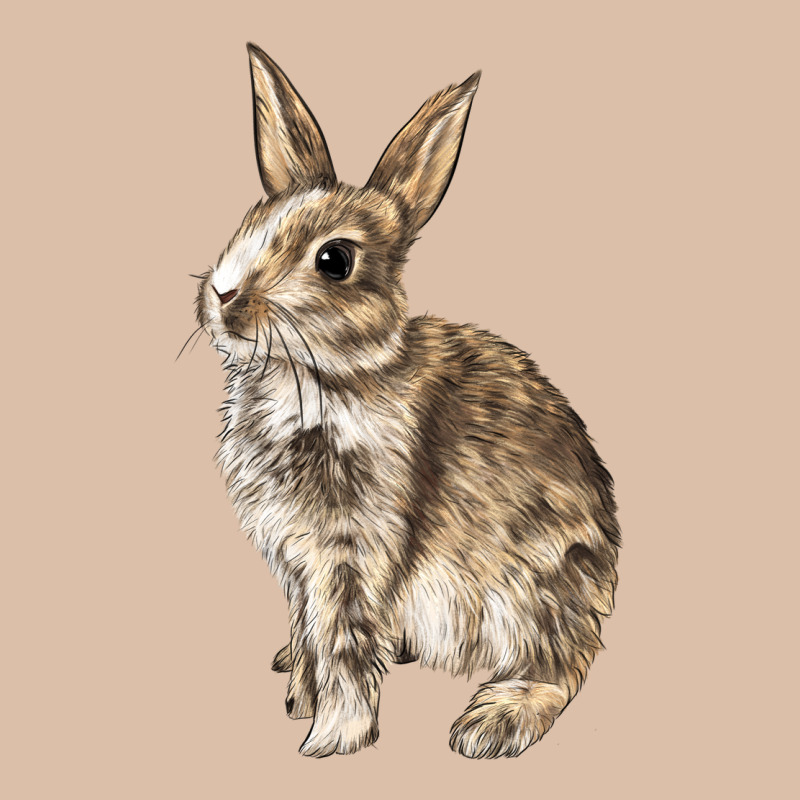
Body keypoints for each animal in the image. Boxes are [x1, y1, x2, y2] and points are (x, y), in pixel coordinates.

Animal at [193, 43, 620, 759]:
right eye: (248, 224)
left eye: (334, 260)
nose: (223, 296)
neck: (323, 376)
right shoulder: (297, 563)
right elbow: (309, 635)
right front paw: (298, 696)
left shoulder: (351, 553)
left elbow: (340, 646)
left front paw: (329, 739)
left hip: (532, 591)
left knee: (559, 668)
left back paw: (491, 723)